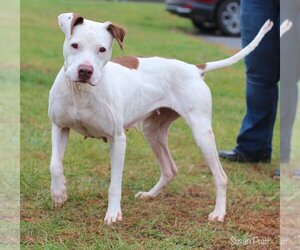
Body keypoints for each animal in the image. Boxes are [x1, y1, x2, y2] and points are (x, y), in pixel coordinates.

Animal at [48, 13, 274, 225]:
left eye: (102, 49)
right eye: (74, 45)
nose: (85, 71)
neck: (81, 92)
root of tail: (194, 68)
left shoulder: (117, 140)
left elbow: (115, 183)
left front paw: (113, 214)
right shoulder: (59, 127)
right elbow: (55, 165)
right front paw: (59, 194)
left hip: (202, 134)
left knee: (221, 177)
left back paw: (218, 213)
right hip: (153, 132)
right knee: (169, 169)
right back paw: (150, 195)